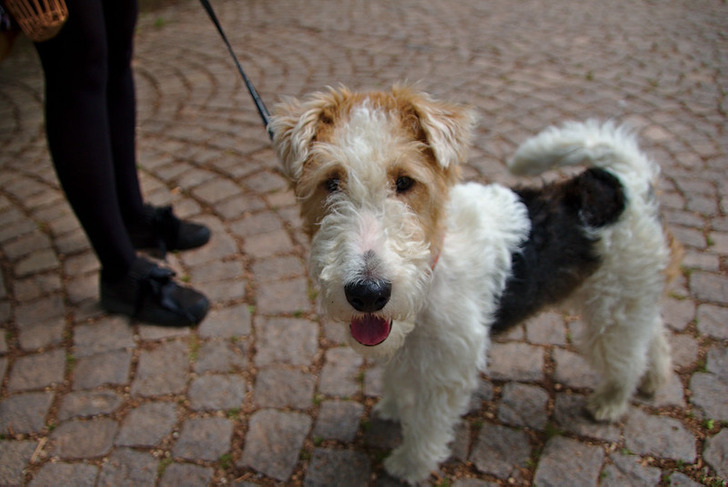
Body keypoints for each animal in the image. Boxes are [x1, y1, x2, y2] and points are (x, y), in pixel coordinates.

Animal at [270, 85, 680, 484]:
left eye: (405, 182)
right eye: (331, 182)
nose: (368, 294)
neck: (434, 264)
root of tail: (626, 184)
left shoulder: (447, 371)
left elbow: (427, 428)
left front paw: (409, 466)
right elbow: (399, 384)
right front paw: (392, 408)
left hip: (613, 309)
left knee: (629, 356)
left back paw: (611, 401)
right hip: (625, 297)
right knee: (653, 334)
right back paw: (655, 378)